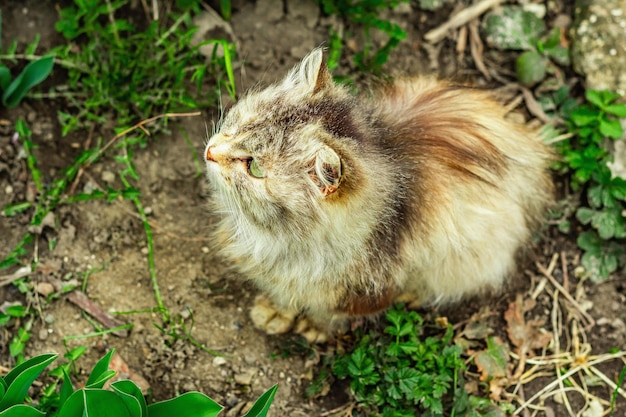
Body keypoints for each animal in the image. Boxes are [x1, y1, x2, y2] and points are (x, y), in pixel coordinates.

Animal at [204, 48, 552, 342]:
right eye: (237, 124)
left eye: (253, 167)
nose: (210, 152)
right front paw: (275, 311)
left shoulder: (360, 292)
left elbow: (325, 314)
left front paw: (311, 327)